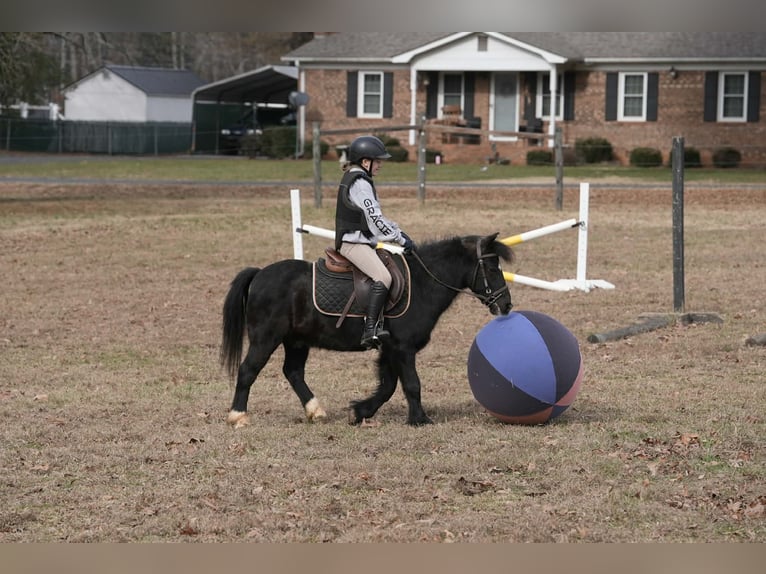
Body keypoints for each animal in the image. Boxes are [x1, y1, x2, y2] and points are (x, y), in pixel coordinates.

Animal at [220, 232, 514, 427]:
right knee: (248, 370)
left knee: (293, 372)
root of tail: (259, 274)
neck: (421, 283)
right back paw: (238, 416)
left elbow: (388, 386)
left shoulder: (390, 348)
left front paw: (360, 411)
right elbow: (411, 383)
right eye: (491, 267)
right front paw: (420, 419)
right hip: (266, 338)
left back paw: (315, 411)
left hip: (297, 341)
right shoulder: (403, 348)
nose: (506, 305)